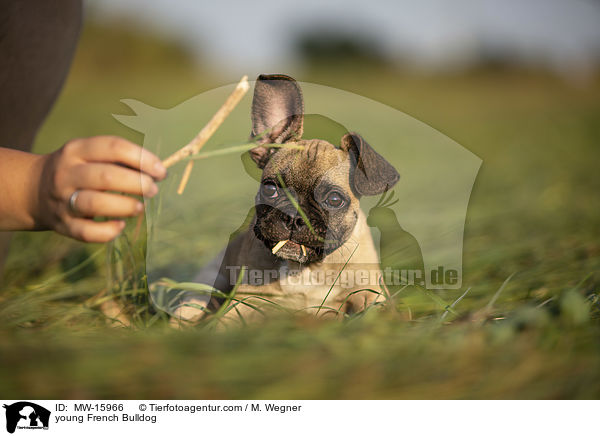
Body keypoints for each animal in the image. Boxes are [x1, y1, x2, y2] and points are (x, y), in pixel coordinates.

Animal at [172, 75, 398, 326]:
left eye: (334, 199)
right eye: (270, 189)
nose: (293, 217)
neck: (305, 270)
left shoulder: (369, 292)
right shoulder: (247, 300)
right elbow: (226, 321)